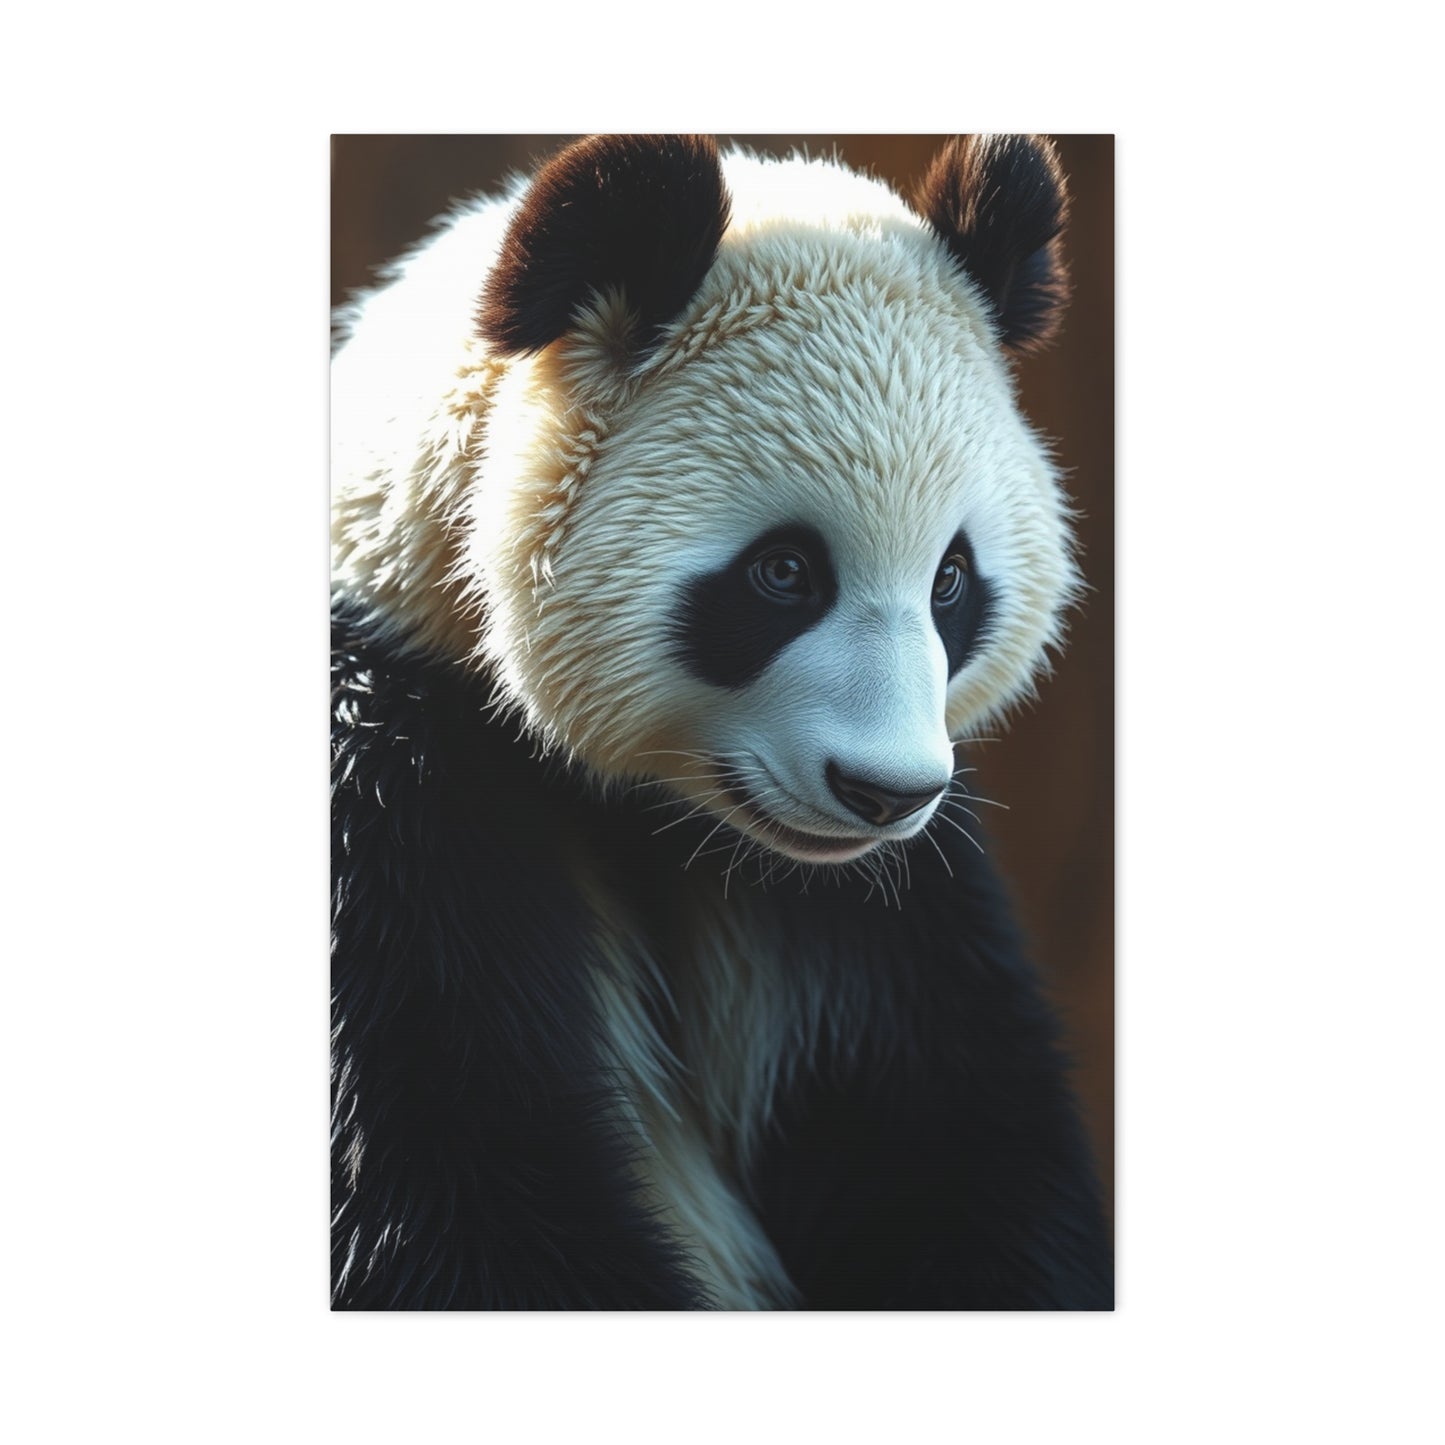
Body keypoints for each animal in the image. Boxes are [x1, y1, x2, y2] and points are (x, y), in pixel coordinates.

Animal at [331, 133, 1112, 1310]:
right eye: (783, 573)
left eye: (951, 581)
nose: (884, 793)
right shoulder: (390, 795)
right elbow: (452, 1186)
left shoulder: (873, 913)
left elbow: (954, 1147)